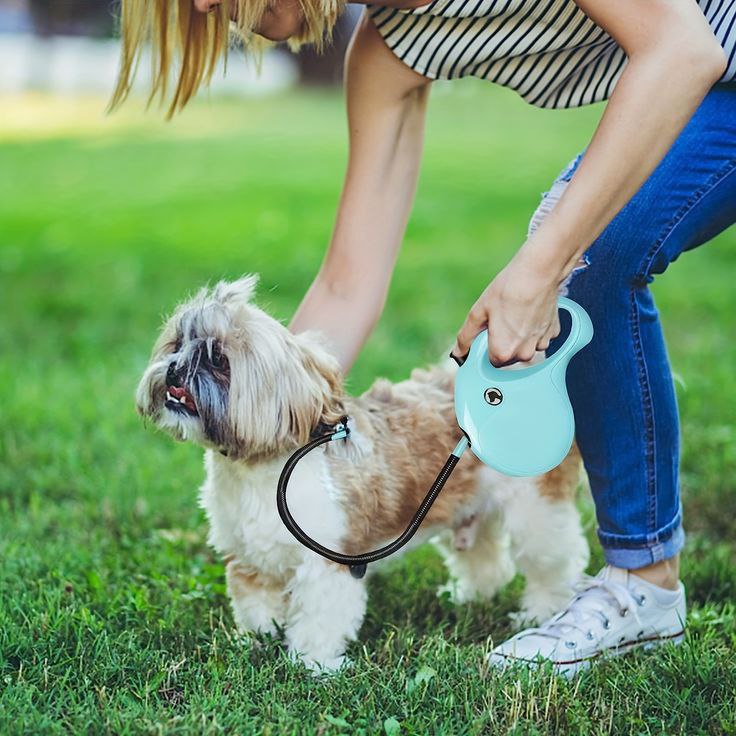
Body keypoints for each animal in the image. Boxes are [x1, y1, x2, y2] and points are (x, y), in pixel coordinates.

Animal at [135, 276, 588, 672]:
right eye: (176, 345)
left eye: (218, 359)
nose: (174, 370)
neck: (261, 470)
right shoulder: (250, 562)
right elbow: (256, 608)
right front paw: (256, 641)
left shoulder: (327, 565)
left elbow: (319, 621)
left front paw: (314, 665)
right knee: (487, 560)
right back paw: (469, 596)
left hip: (536, 513)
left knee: (554, 564)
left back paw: (540, 613)